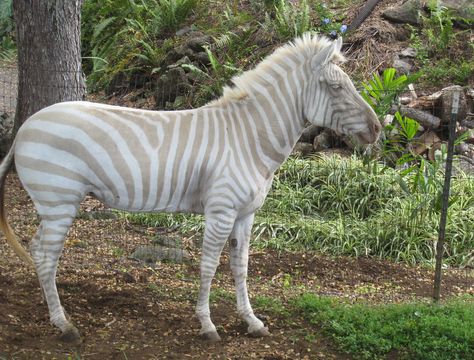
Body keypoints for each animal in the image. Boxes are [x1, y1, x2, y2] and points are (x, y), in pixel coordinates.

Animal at [0, 35, 378, 344]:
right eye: (336, 88)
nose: (377, 130)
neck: (248, 139)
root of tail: (26, 126)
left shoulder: (246, 214)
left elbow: (240, 266)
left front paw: (251, 321)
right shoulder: (221, 210)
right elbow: (209, 266)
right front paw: (207, 325)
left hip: (53, 205)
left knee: (37, 250)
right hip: (59, 201)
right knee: (46, 255)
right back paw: (64, 325)